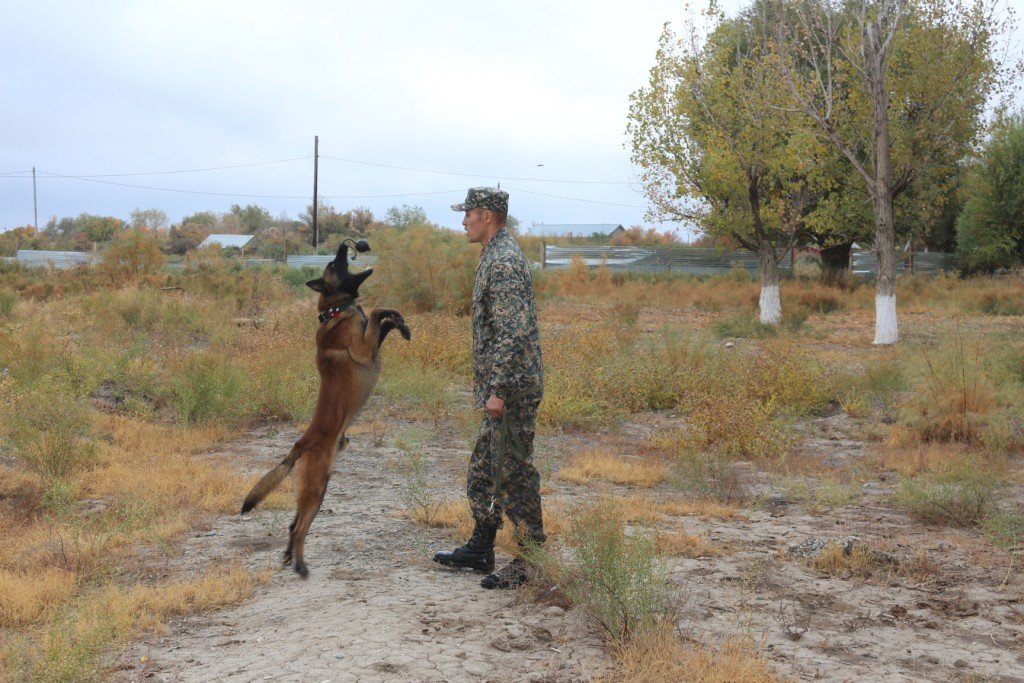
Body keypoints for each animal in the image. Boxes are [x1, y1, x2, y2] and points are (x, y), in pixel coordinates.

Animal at [241, 240, 409, 577]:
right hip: (316, 488)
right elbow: (377, 312)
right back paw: (300, 566)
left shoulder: (372, 346)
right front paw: (393, 318)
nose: (345, 245)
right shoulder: (364, 349)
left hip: (315, 490)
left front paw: (399, 322)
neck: (334, 311)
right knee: (298, 528)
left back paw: (288, 558)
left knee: (293, 524)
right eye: (333, 264)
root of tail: (299, 445)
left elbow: (382, 320)